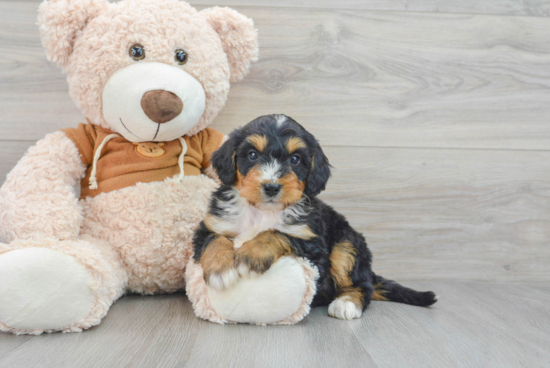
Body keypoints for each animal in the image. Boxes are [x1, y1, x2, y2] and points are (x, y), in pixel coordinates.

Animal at [192, 114, 438, 320]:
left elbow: (275, 233)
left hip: (346, 244)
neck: (262, 211)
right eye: (252, 155)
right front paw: (220, 270)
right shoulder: (211, 224)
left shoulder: (311, 242)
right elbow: (215, 239)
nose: (271, 187)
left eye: (295, 159)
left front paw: (250, 254)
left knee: (362, 284)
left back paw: (347, 304)